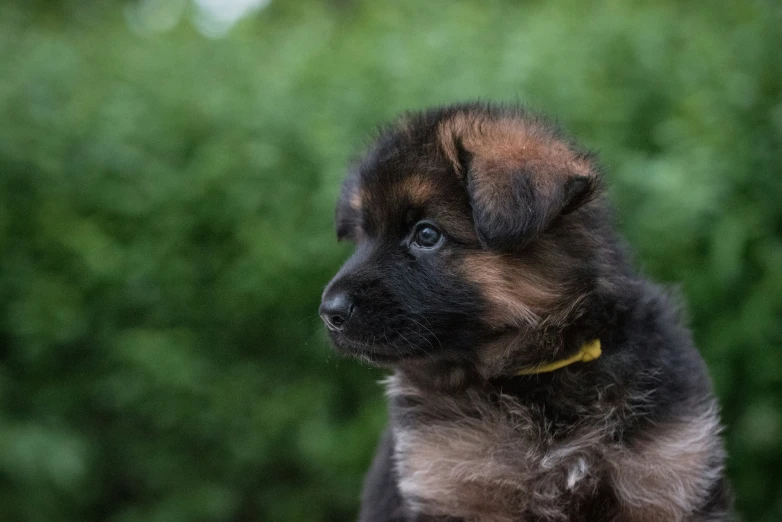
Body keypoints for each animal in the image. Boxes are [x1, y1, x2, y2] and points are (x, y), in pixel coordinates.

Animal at [318, 102, 728, 520]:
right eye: (363, 236)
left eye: (427, 234)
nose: (328, 312)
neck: (534, 375)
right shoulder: (458, 486)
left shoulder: (665, 480)